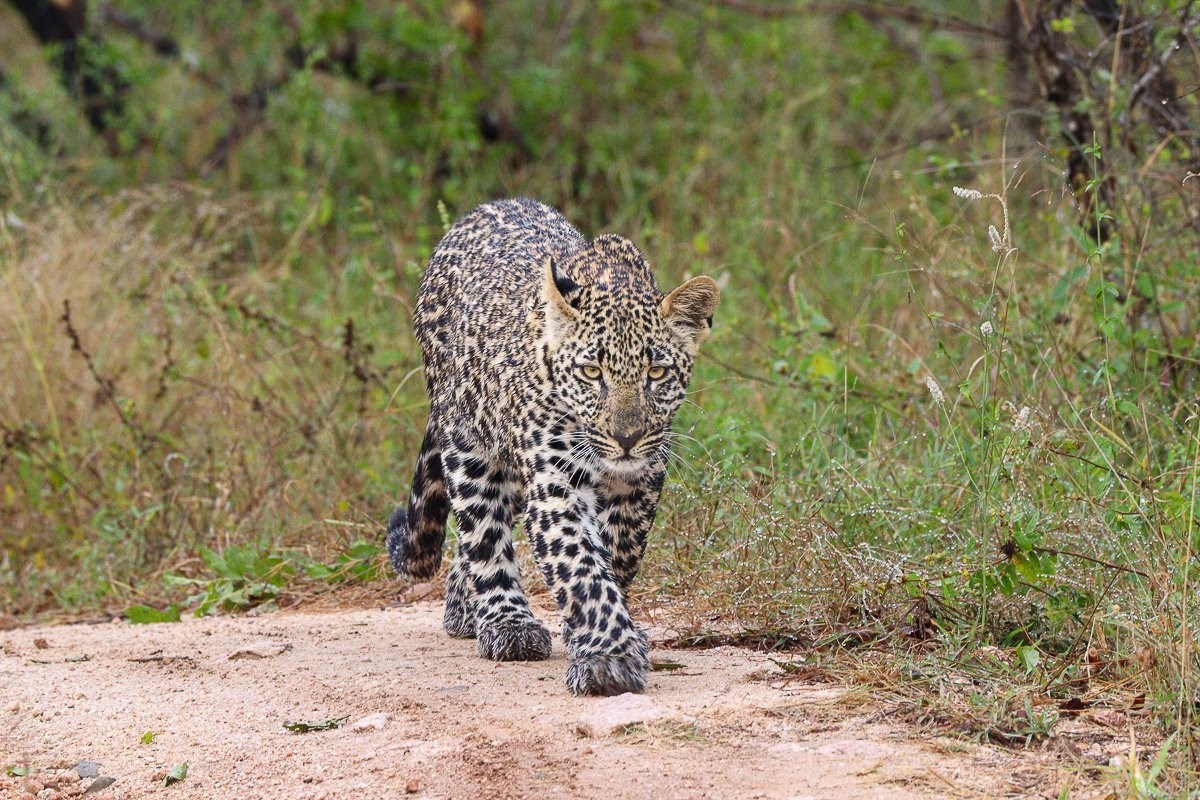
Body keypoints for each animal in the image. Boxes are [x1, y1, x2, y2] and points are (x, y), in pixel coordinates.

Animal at [385, 198, 719, 696]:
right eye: (591, 372)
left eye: (656, 373)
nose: (626, 438)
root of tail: (487, 206)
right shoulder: (555, 479)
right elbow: (580, 564)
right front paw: (609, 658)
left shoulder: (641, 480)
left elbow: (617, 553)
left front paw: (598, 635)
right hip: (470, 443)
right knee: (481, 532)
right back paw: (505, 623)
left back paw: (463, 608)